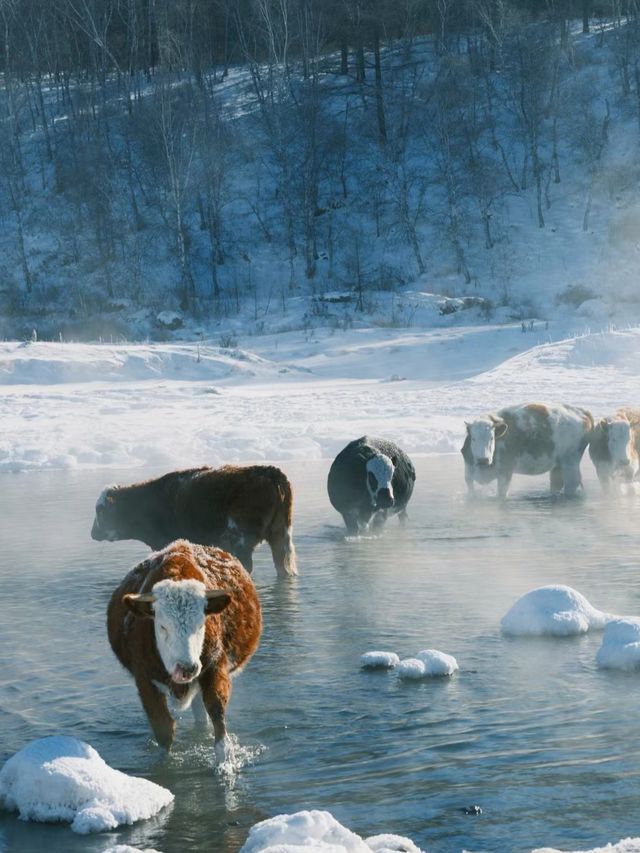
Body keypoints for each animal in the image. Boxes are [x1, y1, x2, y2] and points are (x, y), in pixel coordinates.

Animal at [107, 540, 262, 760]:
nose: (187, 668)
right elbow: (163, 729)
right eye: (162, 626)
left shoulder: (215, 668)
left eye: (201, 624)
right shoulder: (144, 679)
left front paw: (225, 760)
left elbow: (218, 715)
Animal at [460, 402, 596, 500]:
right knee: (556, 483)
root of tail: (583, 412)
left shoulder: (505, 472)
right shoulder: (468, 476)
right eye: (473, 438)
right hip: (559, 465)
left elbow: (501, 495)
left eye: (492, 438)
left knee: (571, 483)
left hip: (570, 461)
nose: (483, 460)